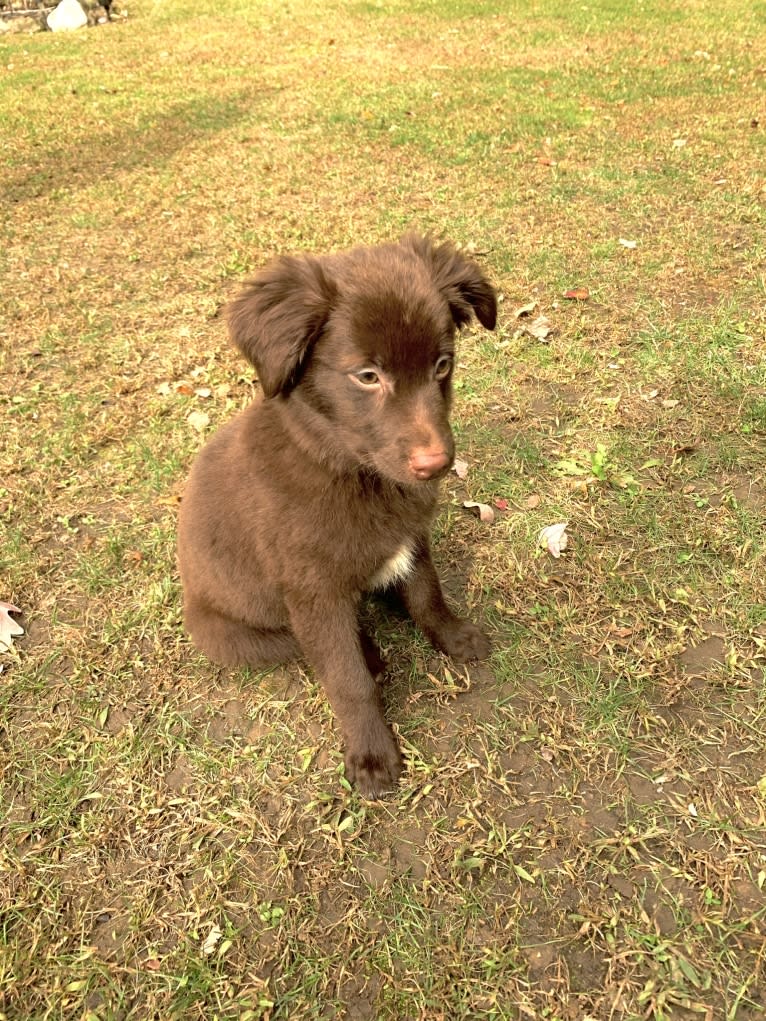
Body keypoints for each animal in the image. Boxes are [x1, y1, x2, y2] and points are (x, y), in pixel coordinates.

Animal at [179, 233, 498, 796]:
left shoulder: (411, 538)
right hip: (230, 632)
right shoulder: (313, 594)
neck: (351, 469)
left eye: (442, 365)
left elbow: (427, 593)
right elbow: (346, 680)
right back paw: (369, 653)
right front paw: (372, 754)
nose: (435, 464)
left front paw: (453, 634)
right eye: (367, 376)